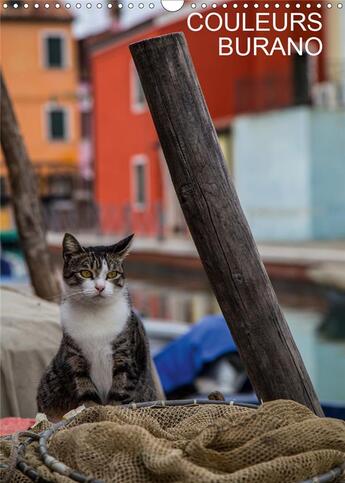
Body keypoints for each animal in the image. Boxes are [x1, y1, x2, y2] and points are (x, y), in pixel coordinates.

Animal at [36, 233, 157, 420]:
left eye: (112, 274)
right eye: (85, 273)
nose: (100, 287)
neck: (95, 313)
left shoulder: (125, 357)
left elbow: (119, 391)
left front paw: (111, 415)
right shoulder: (75, 357)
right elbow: (85, 390)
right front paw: (92, 414)